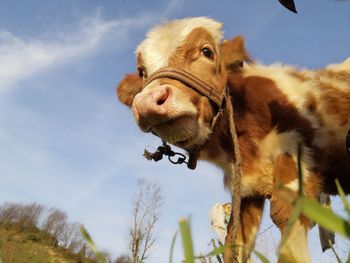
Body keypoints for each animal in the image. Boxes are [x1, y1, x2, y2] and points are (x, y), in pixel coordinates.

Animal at [117, 17, 350, 262]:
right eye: (141, 71)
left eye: (207, 51)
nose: (147, 102)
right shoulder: (247, 189)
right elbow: (235, 240)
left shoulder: (294, 157)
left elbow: (287, 221)